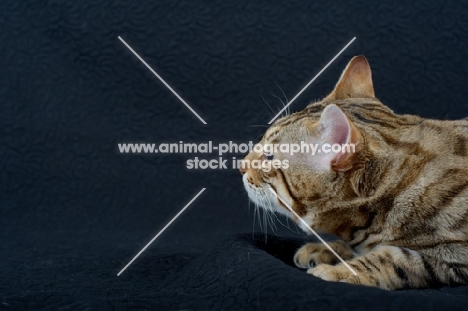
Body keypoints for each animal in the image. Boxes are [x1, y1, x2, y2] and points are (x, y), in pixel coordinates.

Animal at [239, 55, 468, 290]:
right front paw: (328, 249)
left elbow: (390, 259)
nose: (240, 165)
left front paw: (339, 270)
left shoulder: (453, 255)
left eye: (269, 157)